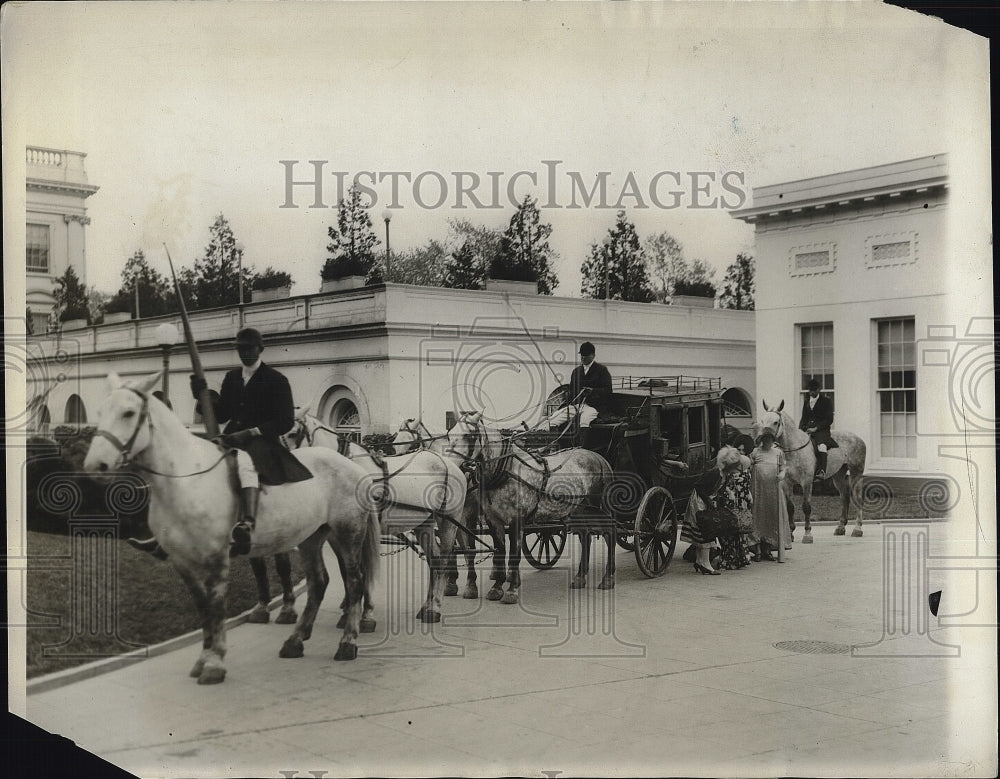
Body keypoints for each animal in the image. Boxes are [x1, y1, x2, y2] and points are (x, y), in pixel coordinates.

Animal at [84, 372, 380, 684]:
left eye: (128, 413)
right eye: (100, 413)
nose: (95, 466)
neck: (186, 478)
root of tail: (356, 468)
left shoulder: (217, 556)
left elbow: (216, 605)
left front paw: (214, 661)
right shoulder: (182, 560)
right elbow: (203, 606)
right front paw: (204, 658)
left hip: (347, 534)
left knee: (355, 581)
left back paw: (348, 641)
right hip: (311, 537)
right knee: (319, 582)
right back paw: (295, 641)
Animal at [286, 414, 468, 620]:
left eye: (292, 434)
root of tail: (449, 464)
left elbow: (361, 569)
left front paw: (363, 614)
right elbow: (347, 569)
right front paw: (350, 610)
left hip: (448, 520)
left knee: (444, 559)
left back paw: (435, 607)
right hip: (424, 523)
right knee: (434, 559)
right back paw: (426, 607)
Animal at [756, 402, 868, 544]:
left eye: (776, 422)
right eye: (762, 421)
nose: (761, 439)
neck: (793, 450)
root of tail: (857, 438)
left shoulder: (807, 482)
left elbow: (806, 507)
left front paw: (807, 534)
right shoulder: (787, 483)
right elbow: (790, 507)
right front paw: (791, 534)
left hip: (855, 473)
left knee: (857, 497)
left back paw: (857, 528)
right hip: (838, 476)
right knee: (844, 497)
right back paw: (841, 527)